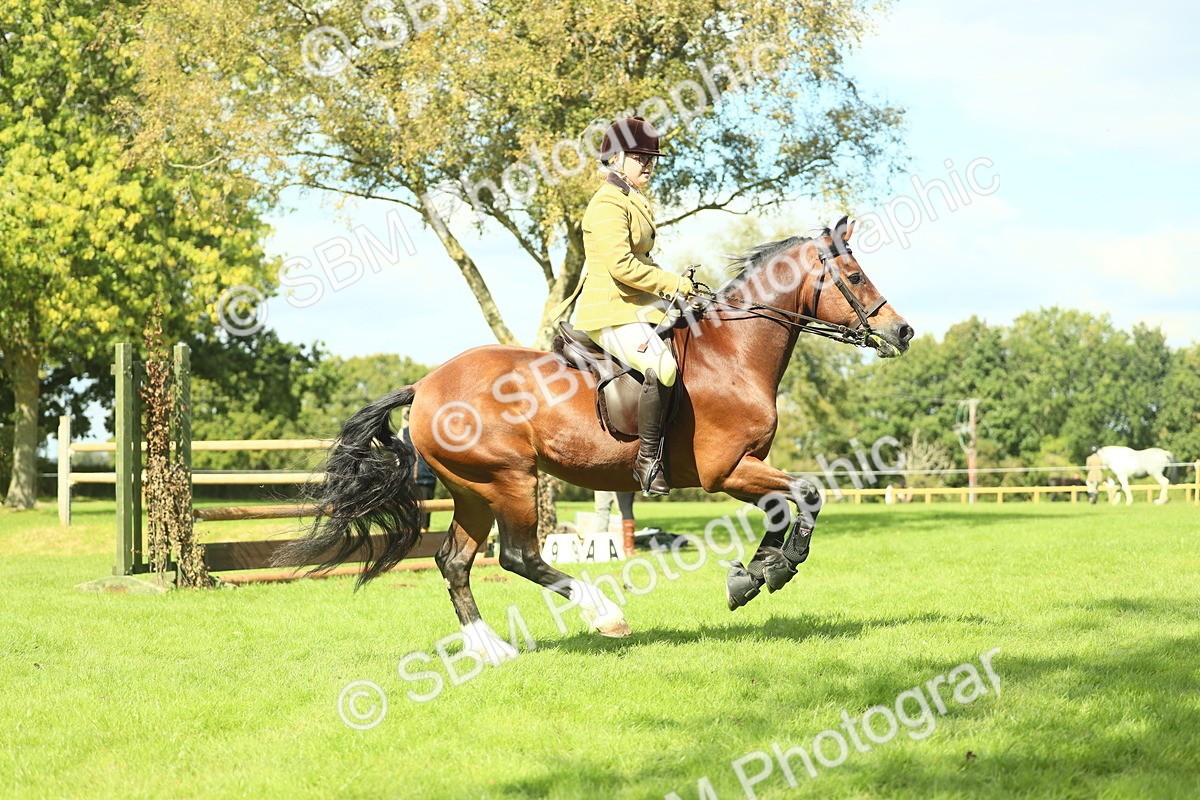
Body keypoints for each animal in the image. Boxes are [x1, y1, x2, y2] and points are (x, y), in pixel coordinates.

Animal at [278, 217, 913, 662]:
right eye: (855, 277)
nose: (902, 331)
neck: (732, 355)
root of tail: (426, 384)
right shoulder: (727, 471)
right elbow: (806, 493)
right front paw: (770, 572)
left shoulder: (750, 465)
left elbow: (789, 503)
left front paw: (753, 574)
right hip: (509, 480)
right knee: (516, 556)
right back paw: (604, 615)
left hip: (472, 491)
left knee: (454, 561)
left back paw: (491, 650)